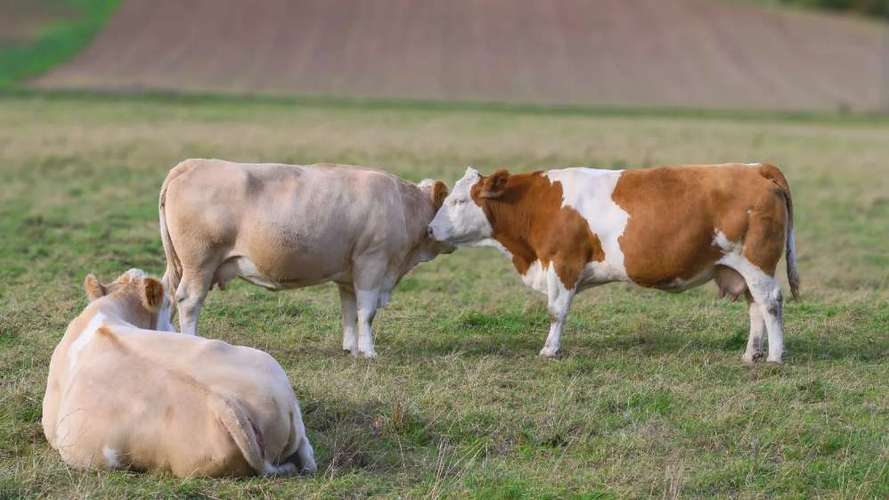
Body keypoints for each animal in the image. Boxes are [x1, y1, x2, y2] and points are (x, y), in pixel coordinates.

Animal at [158, 158, 450, 358]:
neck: (404, 206)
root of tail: (191, 164)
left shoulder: (348, 274)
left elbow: (349, 310)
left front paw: (351, 348)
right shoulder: (372, 261)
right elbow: (366, 311)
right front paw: (368, 352)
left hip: (179, 265)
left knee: (166, 294)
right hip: (200, 262)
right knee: (188, 300)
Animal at [426, 164, 800, 364]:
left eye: (458, 201)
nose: (429, 229)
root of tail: (754, 168)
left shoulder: (563, 262)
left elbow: (556, 311)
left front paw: (549, 350)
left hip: (757, 263)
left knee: (770, 303)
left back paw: (774, 357)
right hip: (744, 269)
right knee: (755, 307)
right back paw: (750, 355)